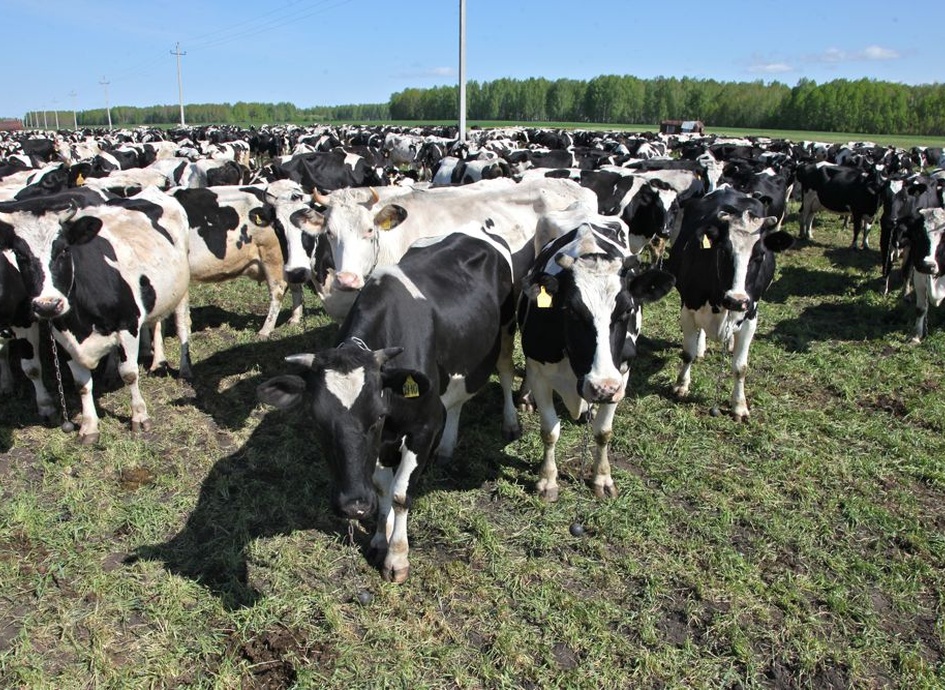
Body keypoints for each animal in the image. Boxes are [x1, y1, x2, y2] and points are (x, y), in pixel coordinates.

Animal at [0, 186, 192, 443]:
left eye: (64, 250)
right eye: (20, 256)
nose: (48, 305)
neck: (79, 320)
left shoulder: (127, 323)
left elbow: (129, 373)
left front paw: (139, 416)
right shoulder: (62, 335)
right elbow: (81, 383)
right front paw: (89, 426)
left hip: (180, 290)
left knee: (180, 326)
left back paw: (183, 368)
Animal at [172, 179, 321, 339]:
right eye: (279, 226)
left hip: (273, 258)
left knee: (278, 291)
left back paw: (265, 330)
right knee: (295, 285)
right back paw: (294, 319)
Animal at [257, 227, 518, 582]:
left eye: (377, 417)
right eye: (316, 422)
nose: (353, 505)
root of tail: (474, 231)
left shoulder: (423, 425)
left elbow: (399, 493)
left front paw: (397, 557)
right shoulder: (383, 443)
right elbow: (382, 488)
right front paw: (380, 538)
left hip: (506, 330)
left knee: (504, 370)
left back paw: (510, 422)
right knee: (456, 403)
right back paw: (447, 448)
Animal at [517, 223, 674, 501]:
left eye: (627, 310)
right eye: (571, 311)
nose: (602, 388)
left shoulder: (621, 376)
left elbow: (603, 432)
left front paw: (602, 477)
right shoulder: (539, 372)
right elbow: (549, 431)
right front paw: (547, 480)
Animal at [666, 188, 794, 420]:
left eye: (760, 256)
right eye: (724, 251)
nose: (736, 300)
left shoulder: (751, 316)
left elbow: (740, 367)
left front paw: (739, 405)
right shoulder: (688, 309)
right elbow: (687, 352)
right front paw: (681, 385)